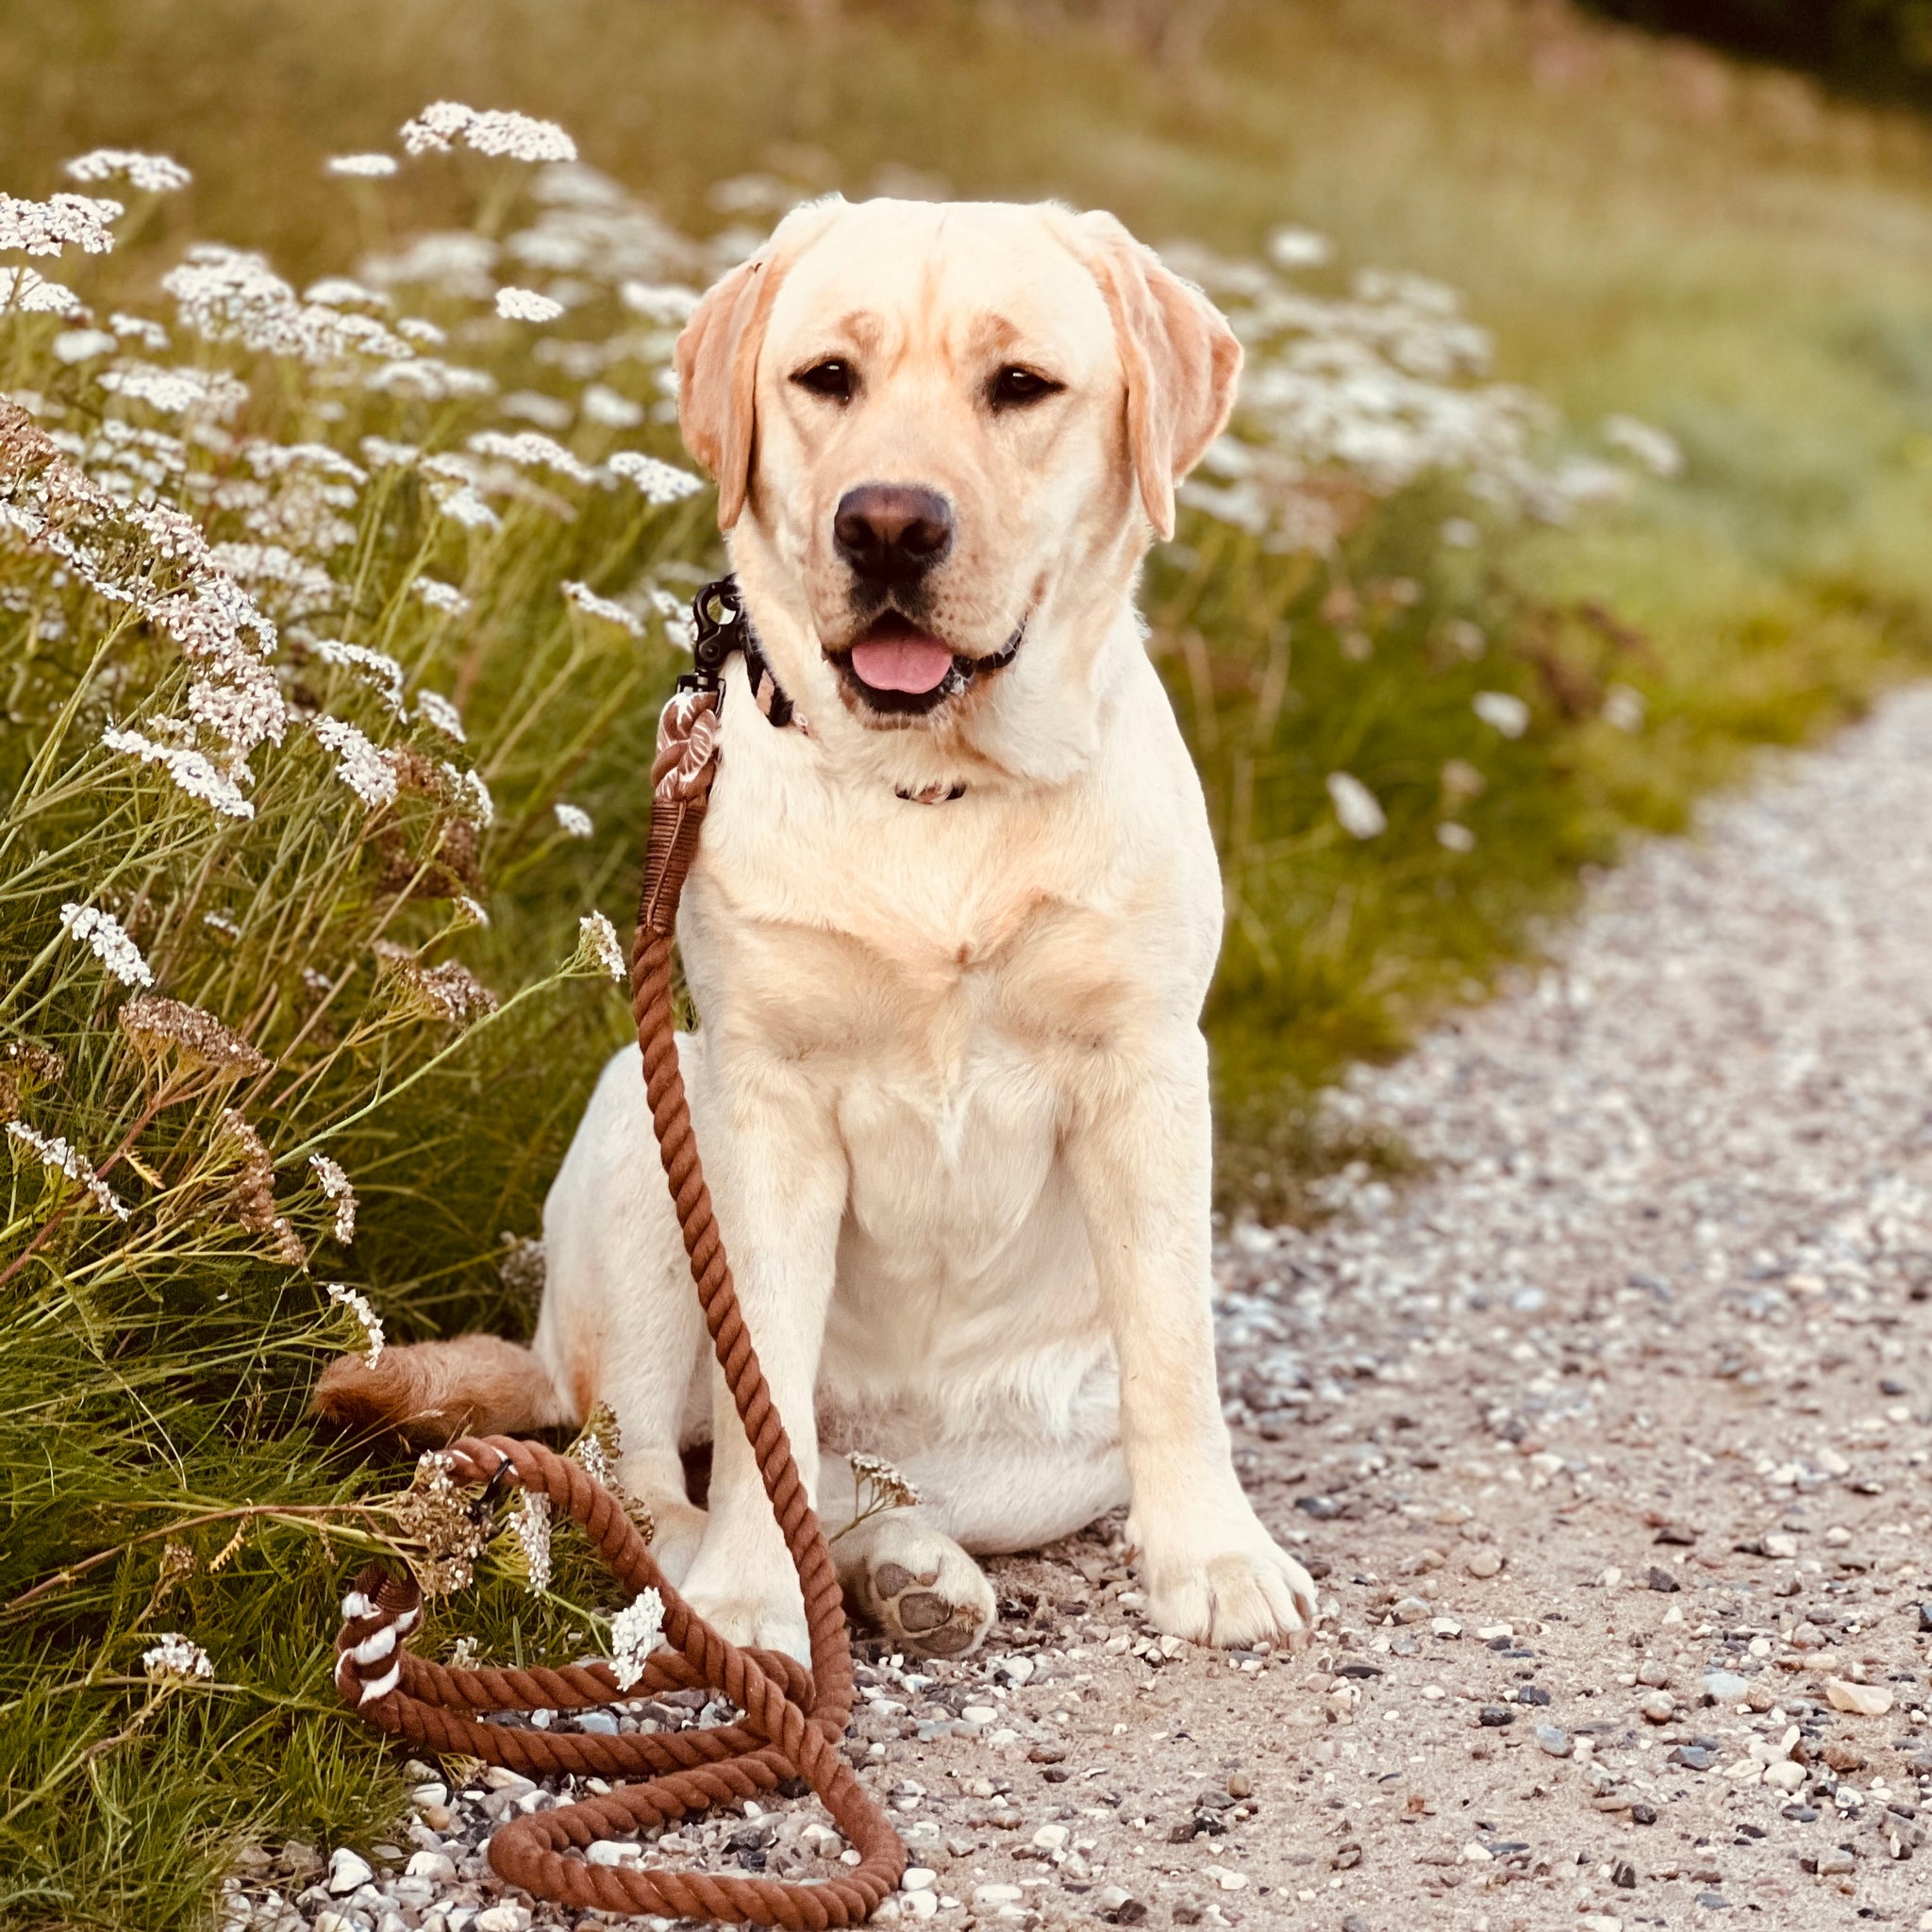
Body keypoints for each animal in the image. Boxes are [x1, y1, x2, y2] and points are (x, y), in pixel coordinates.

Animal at [316, 204, 1321, 1669]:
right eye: (827, 378)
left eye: (1021, 386)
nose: (889, 525)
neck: (935, 788)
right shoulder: (766, 1105)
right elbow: (760, 1411)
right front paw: (751, 1595)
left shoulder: (1146, 1069)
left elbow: (1176, 1358)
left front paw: (1216, 1559)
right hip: (650, 1122)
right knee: (651, 1471)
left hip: (1038, 1453)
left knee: (868, 1488)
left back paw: (909, 1570)